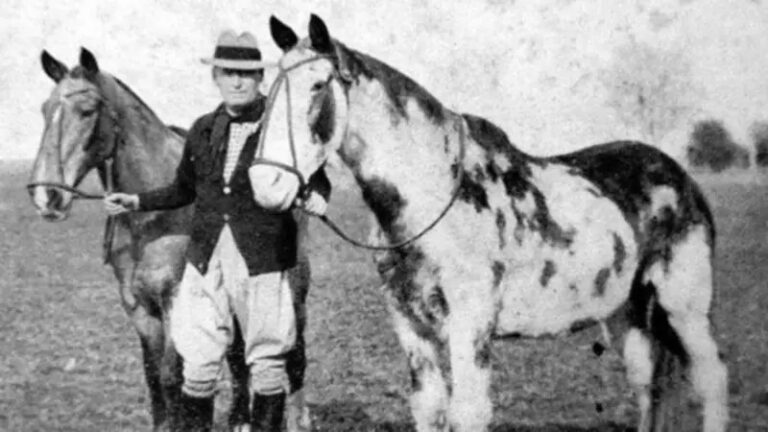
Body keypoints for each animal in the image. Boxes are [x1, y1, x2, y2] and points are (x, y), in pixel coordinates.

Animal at [245, 14, 730, 432]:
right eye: (270, 88)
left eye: (317, 85)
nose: (266, 183)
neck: (434, 193)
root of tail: (680, 176)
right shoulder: (411, 325)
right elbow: (430, 409)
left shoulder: (469, 324)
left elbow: (469, 413)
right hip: (624, 313)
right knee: (649, 386)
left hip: (683, 307)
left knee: (711, 379)